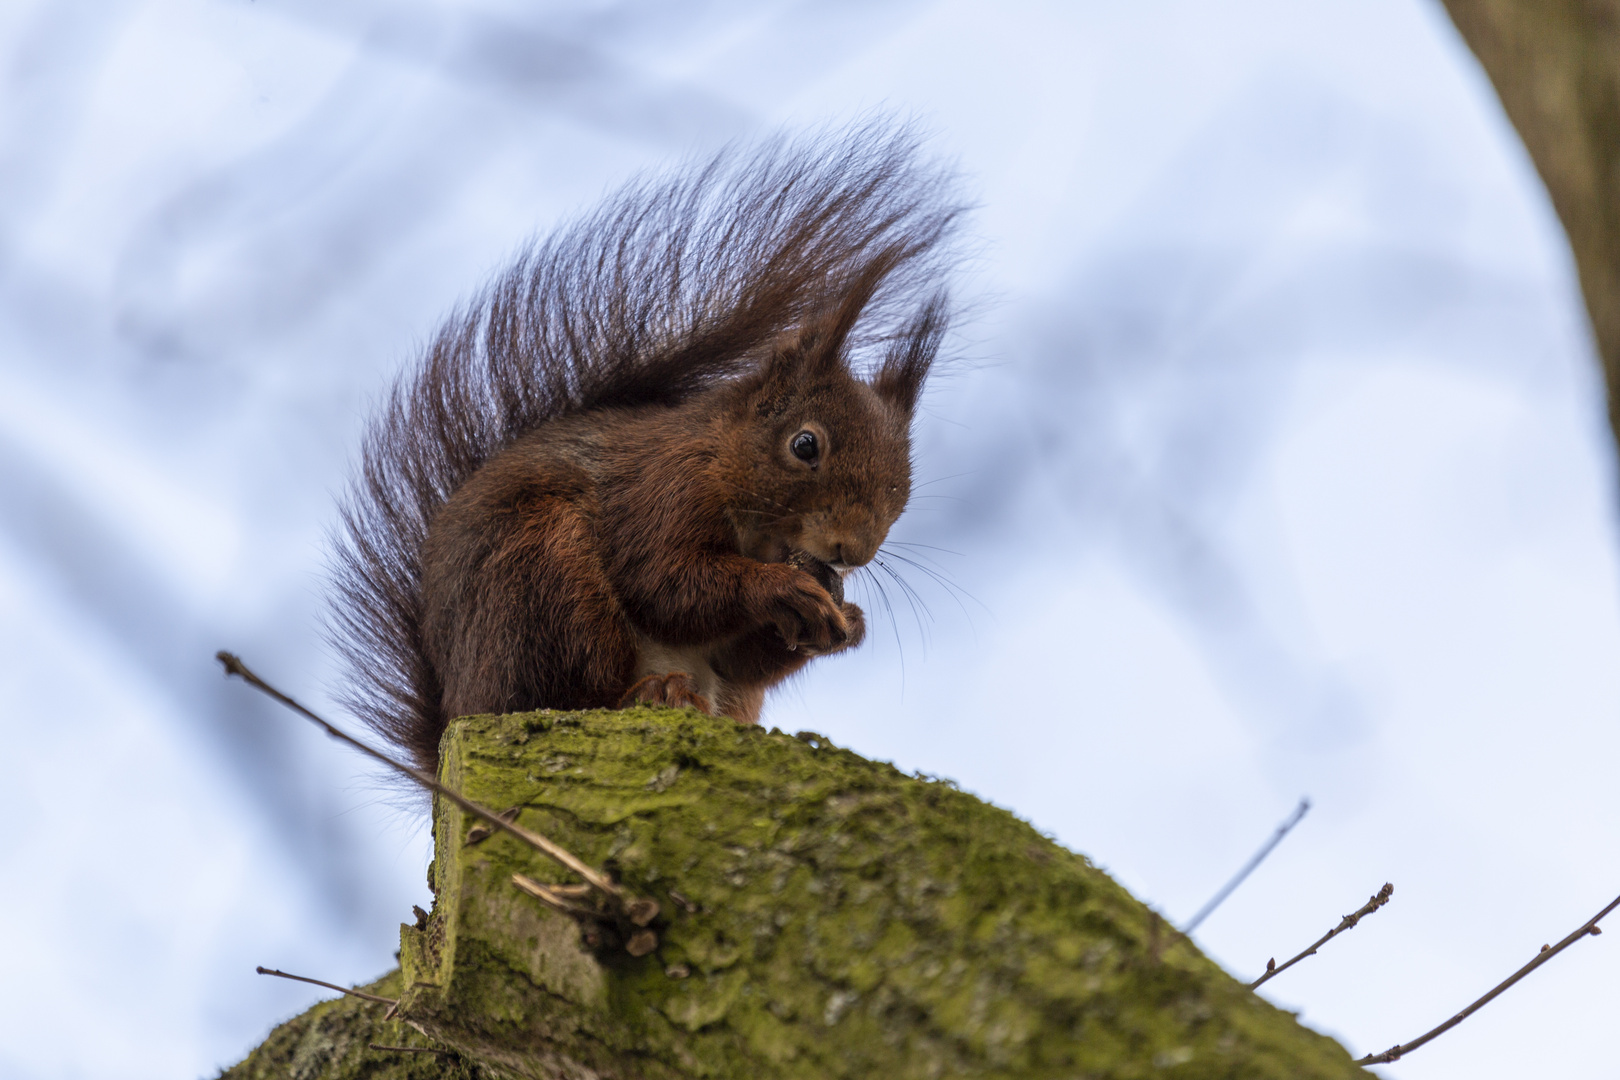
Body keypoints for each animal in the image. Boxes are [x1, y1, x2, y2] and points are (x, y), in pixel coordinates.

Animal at [328, 124, 959, 777]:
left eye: (903, 485)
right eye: (804, 444)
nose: (851, 552)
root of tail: (459, 710)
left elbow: (741, 654)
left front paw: (849, 621)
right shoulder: (659, 488)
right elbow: (665, 583)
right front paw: (781, 589)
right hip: (543, 576)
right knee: (572, 692)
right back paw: (644, 694)